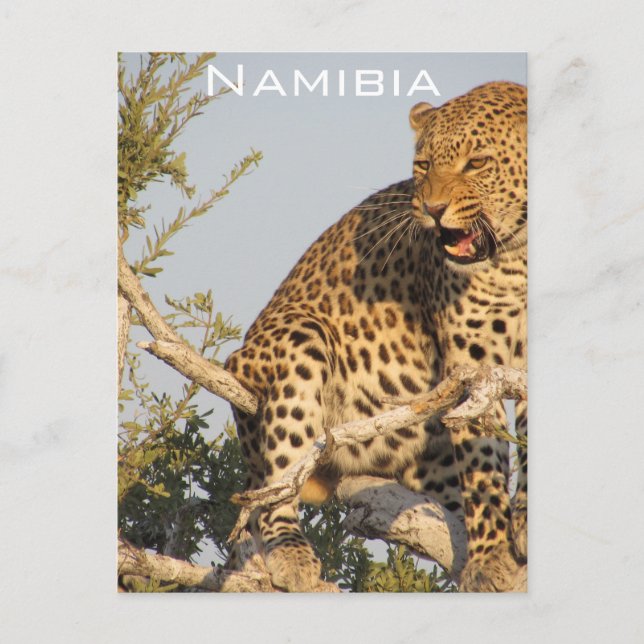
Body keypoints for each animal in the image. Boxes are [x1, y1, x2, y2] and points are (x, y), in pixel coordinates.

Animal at [225, 81, 527, 592]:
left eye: (478, 163)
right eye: (422, 165)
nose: (432, 209)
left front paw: (521, 523)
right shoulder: (474, 367)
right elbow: (484, 466)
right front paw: (489, 560)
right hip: (295, 341)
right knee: (276, 483)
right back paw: (290, 551)